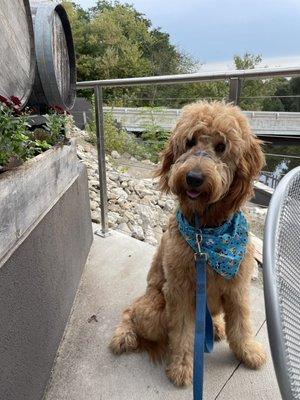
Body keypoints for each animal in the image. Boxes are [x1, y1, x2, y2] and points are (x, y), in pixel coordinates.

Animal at [110, 101, 268, 386]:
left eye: (221, 147)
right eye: (190, 142)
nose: (193, 177)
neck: (205, 234)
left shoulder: (237, 287)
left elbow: (241, 325)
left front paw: (248, 351)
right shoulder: (181, 291)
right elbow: (183, 334)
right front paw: (182, 367)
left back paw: (216, 328)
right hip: (154, 310)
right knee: (131, 312)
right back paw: (124, 334)